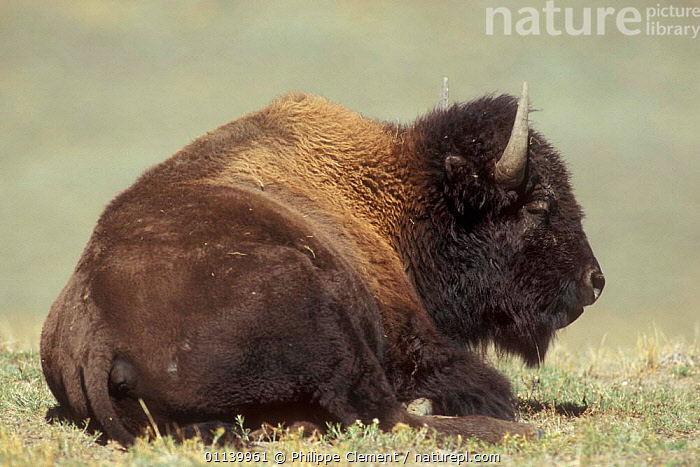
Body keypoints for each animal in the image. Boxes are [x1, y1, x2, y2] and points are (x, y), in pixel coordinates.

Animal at [41, 83, 604, 446]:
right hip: (319, 311)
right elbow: (479, 381)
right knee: (385, 415)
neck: (402, 198)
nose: (593, 281)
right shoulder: (414, 337)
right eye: (538, 204)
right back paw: (517, 430)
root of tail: (96, 335)